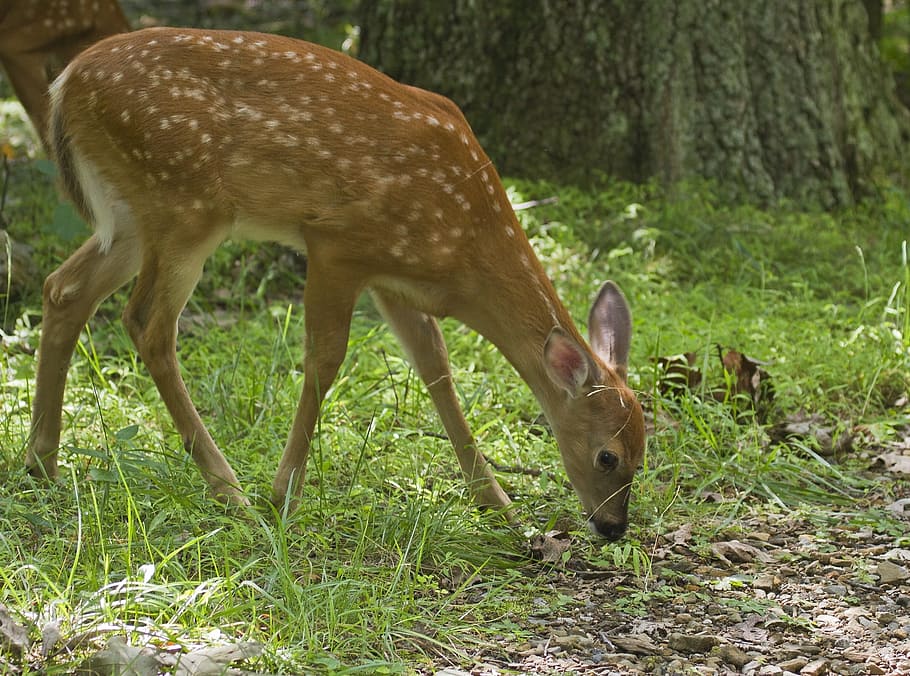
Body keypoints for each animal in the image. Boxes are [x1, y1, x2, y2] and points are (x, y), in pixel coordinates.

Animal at [26, 27, 646, 540]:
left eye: (645, 451)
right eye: (608, 457)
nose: (613, 527)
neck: (464, 247)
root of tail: (64, 82)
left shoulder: (395, 280)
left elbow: (437, 369)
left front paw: (501, 508)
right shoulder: (337, 244)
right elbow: (325, 360)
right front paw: (284, 495)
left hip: (133, 215)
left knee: (63, 288)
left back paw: (42, 463)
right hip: (184, 205)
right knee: (147, 323)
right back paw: (231, 493)